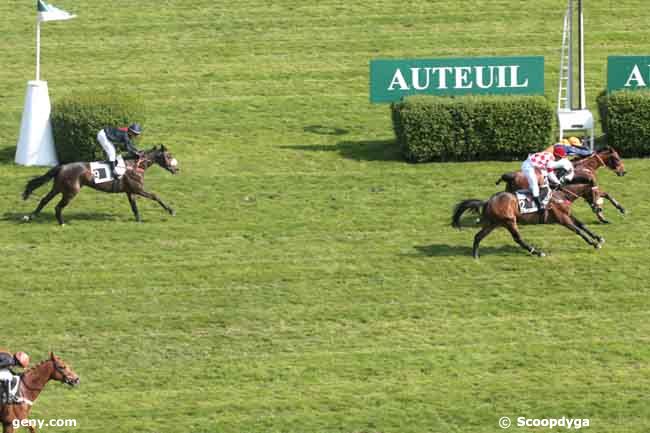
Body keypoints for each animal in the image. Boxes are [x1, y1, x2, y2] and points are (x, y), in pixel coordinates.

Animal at [21, 146, 178, 224]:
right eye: (169, 156)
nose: (176, 169)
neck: (135, 165)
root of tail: (62, 167)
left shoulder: (130, 191)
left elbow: (134, 207)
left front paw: (138, 220)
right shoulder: (138, 189)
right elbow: (156, 196)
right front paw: (171, 210)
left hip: (58, 188)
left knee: (44, 200)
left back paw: (30, 217)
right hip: (71, 191)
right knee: (57, 207)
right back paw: (62, 223)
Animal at [450, 187, 604, 258]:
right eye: (596, 193)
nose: (598, 208)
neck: (561, 195)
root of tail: (488, 201)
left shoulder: (567, 214)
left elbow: (581, 224)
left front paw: (598, 238)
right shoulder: (562, 219)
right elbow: (577, 230)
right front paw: (594, 243)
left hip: (493, 223)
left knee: (478, 236)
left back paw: (475, 256)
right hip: (509, 221)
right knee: (518, 238)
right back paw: (536, 252)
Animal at [496, 148, 624, 223]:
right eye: (617, 158)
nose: (623, 172)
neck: (586, 167)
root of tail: (511, 176)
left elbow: (605, 194)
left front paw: (619, 209)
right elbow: (596, 194)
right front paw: (600, 212)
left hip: (511, 193)